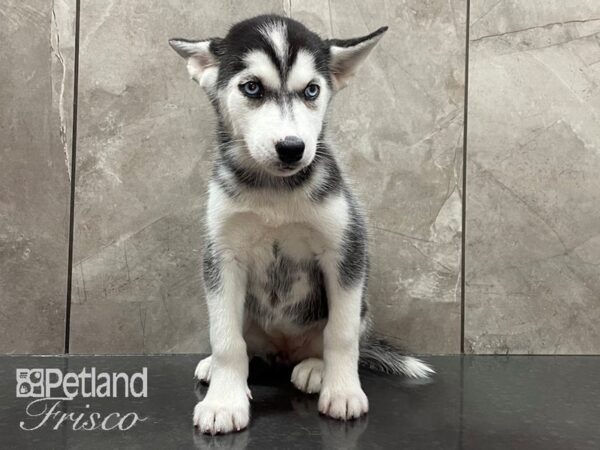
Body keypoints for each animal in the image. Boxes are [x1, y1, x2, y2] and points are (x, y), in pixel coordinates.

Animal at [171, 14, 434, 434]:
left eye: (312, 90)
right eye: (251, 87)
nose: (292, 148)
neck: (275, 192)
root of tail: (284, 350)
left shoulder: (345, 250)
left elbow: (341, 335)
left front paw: (343, 392)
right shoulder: (222, 256)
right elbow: (226, 340)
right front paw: (224, 401)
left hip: (359, 304)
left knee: (333, 337)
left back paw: (315, 369)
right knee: (243, 341)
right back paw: (217, 366)